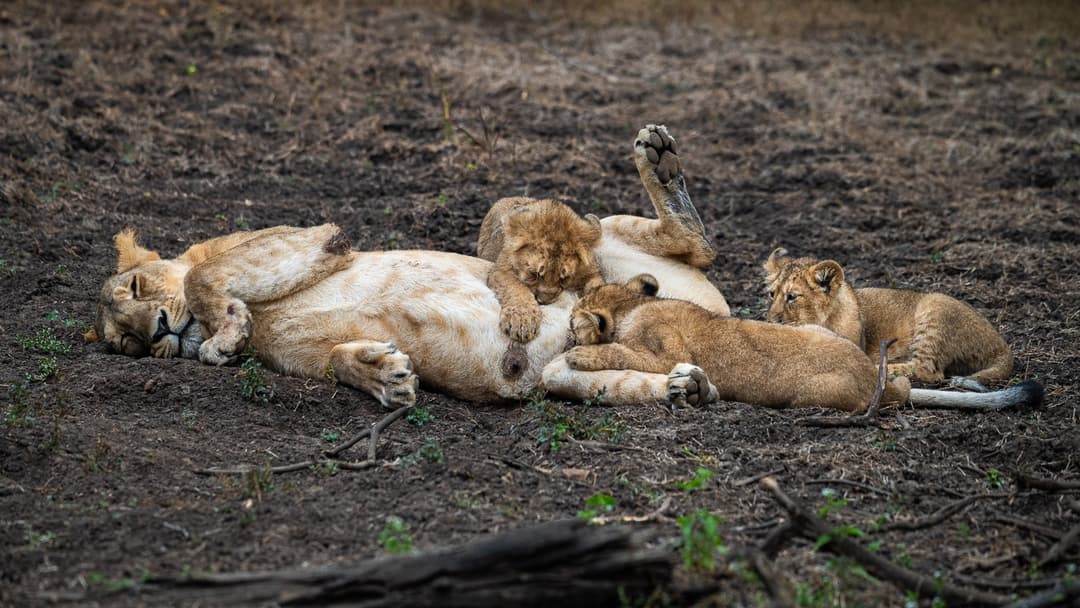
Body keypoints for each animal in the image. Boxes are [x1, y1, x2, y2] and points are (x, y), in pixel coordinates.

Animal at [476, 197, 605, 344]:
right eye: (534, 274)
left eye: (564, 278)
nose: (544, 301)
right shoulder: (501, 271)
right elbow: (516, 289)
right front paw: (522, 321)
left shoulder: (591, 272)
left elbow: (598, 288)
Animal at [544, 274, 1043, 412]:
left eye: (570, 320)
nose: (567, 332)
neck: (633, 304)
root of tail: (876, 377)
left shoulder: (665, 352)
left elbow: (619, 349)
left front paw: (580, 353)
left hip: (811, 395)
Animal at [763, 248, 1029, 389]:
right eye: (772, 294)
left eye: (792, 297)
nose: (770, 320)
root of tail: (1000, 343)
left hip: (935, 306)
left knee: (928, 370)